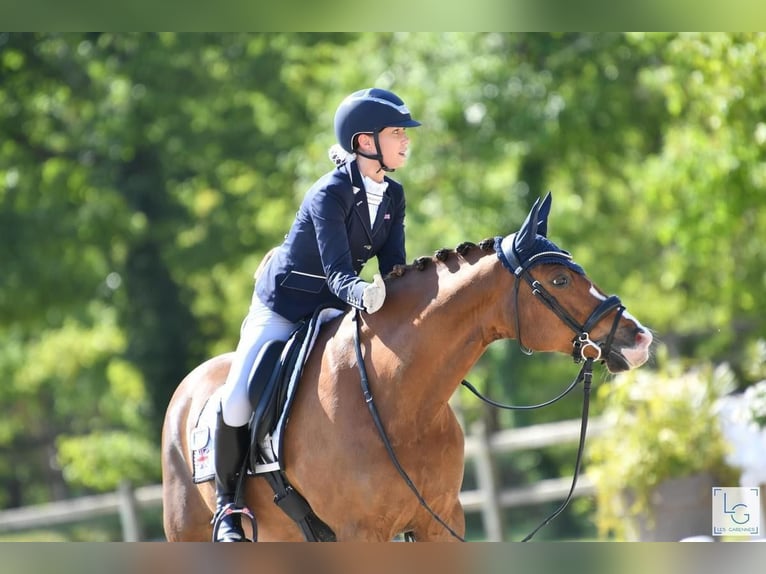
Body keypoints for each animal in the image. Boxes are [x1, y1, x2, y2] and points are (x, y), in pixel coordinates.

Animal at [161, 193, 653, 541]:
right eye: (560, 280)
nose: (639, 339)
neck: (397, 399)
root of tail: (186, 388)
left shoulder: (441, 521)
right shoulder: (361, 534)